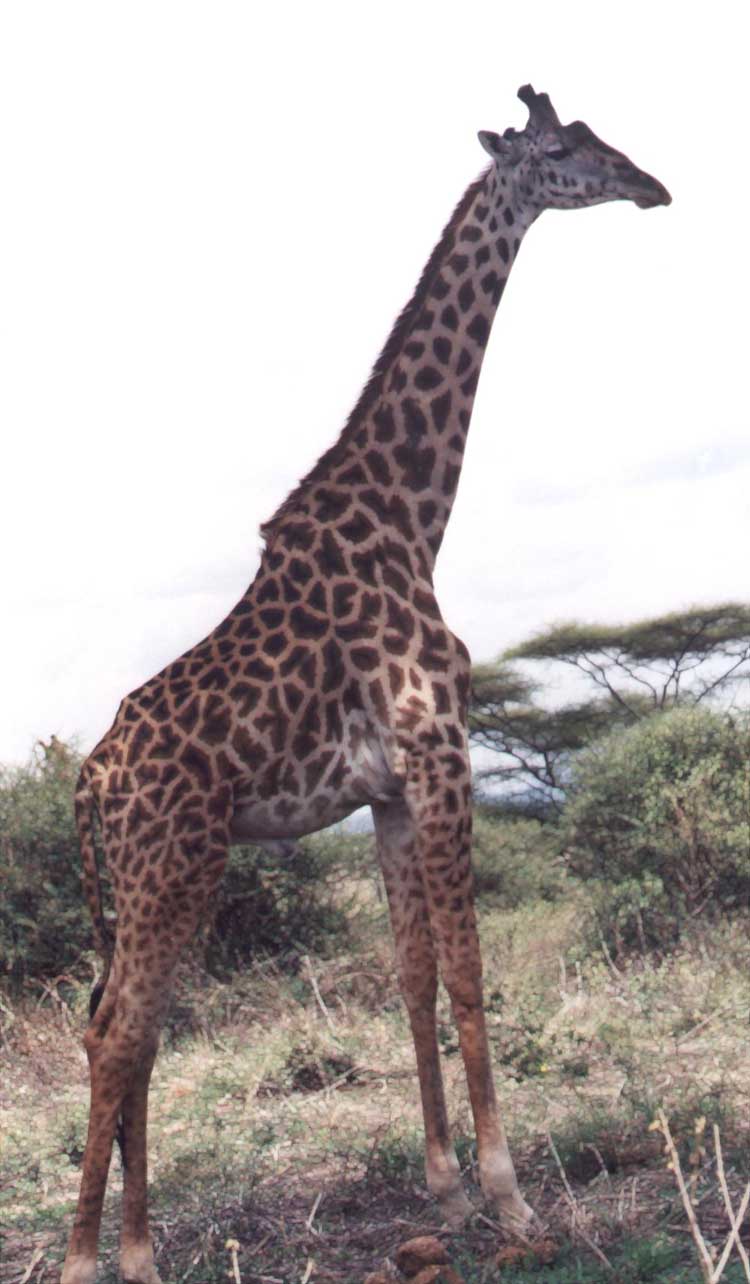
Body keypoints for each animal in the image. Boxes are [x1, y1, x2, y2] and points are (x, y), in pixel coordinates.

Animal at [60, 85, 667, 1278]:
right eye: (567, 148)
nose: (651, 184)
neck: (411, 519)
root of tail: (93, 781)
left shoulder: (386, 791)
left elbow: (413, 977)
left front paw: (444, 1184)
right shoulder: (444, 756)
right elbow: (472, 976)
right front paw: (512, 1200)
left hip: (144, 881)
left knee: (126, 1027)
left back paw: (138, 1244)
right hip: (173, 864)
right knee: (116, 1032)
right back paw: (93, 1257)